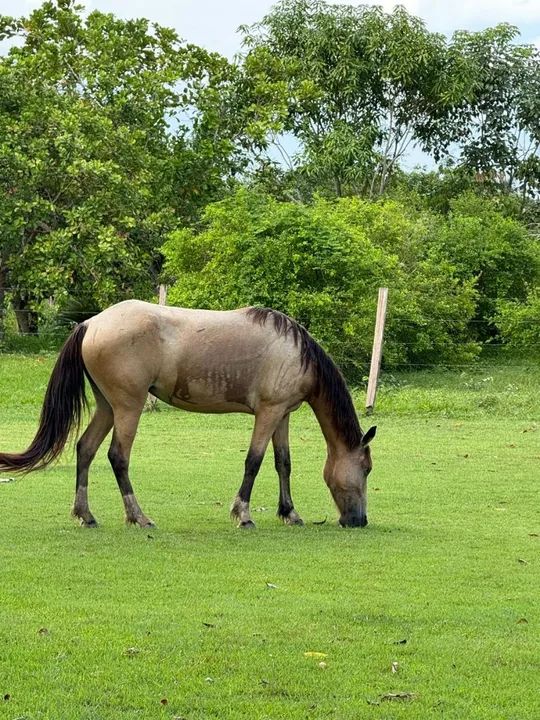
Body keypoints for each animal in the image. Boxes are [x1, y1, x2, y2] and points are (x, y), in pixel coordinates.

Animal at [0, 300, 376, 528]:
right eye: (367, 468)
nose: (358, 520)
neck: (296, 352)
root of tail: (91, 323)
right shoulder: (268, 413)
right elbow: (253, 462)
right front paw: (242, 514)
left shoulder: (282, 413)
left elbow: (282, 462)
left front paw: (289, 513)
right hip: (128, 407)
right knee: (117, 457)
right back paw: (138, 516)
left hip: (107, 407)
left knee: (86, 449)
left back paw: (85, 515)